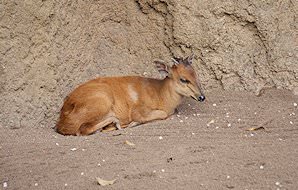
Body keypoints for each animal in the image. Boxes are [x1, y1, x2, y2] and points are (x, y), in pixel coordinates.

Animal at [55, 54, 205, 136]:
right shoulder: (138, 109)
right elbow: (161, 114)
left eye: (196, 74)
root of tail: (62, 122)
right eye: (183, 79)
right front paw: (133, 122)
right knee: (81, 129)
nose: (202, 97)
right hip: (102, 100)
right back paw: (115, 122)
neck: (161, 95)